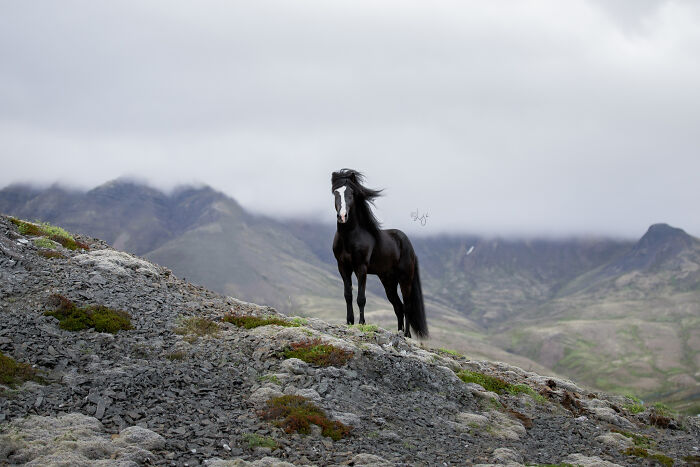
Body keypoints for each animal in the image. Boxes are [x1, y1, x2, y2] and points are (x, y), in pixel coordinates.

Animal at [331, 169, 428, 338]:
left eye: (351, 193)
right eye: (335, 193)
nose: (342, 216)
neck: (350, 236)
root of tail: (408, 245)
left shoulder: (361, 268)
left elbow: (361, 298)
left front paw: (362, 324)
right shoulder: (343, 267)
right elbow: (348, 295)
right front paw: (349, 322)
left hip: (405, 278)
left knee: (407, 306)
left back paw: (406, 334)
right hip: (388, 281)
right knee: (398, 306)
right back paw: (399, 332)